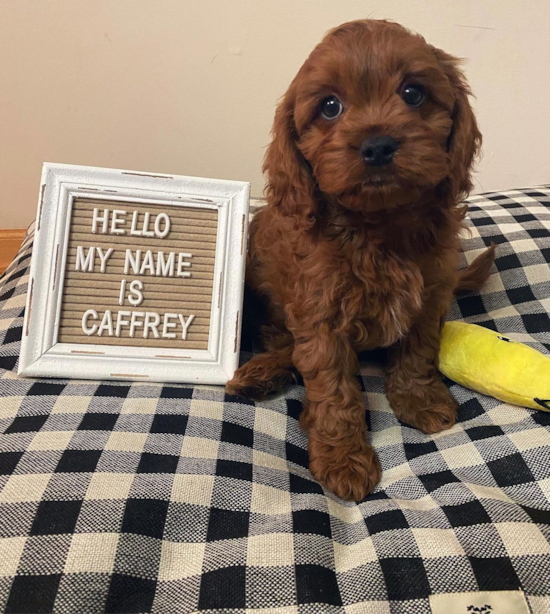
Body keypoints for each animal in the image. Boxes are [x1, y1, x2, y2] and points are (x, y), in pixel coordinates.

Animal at [227, 19, 496, 502]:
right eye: (330, 106)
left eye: (413, 93)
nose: (377, 145)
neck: (378, 225)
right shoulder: (320, 314)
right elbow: (333, 388)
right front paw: (343, 459)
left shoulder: (430, 295)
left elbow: (418, 350)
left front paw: (419, 399)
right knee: (284, 344)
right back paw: (261, 371)